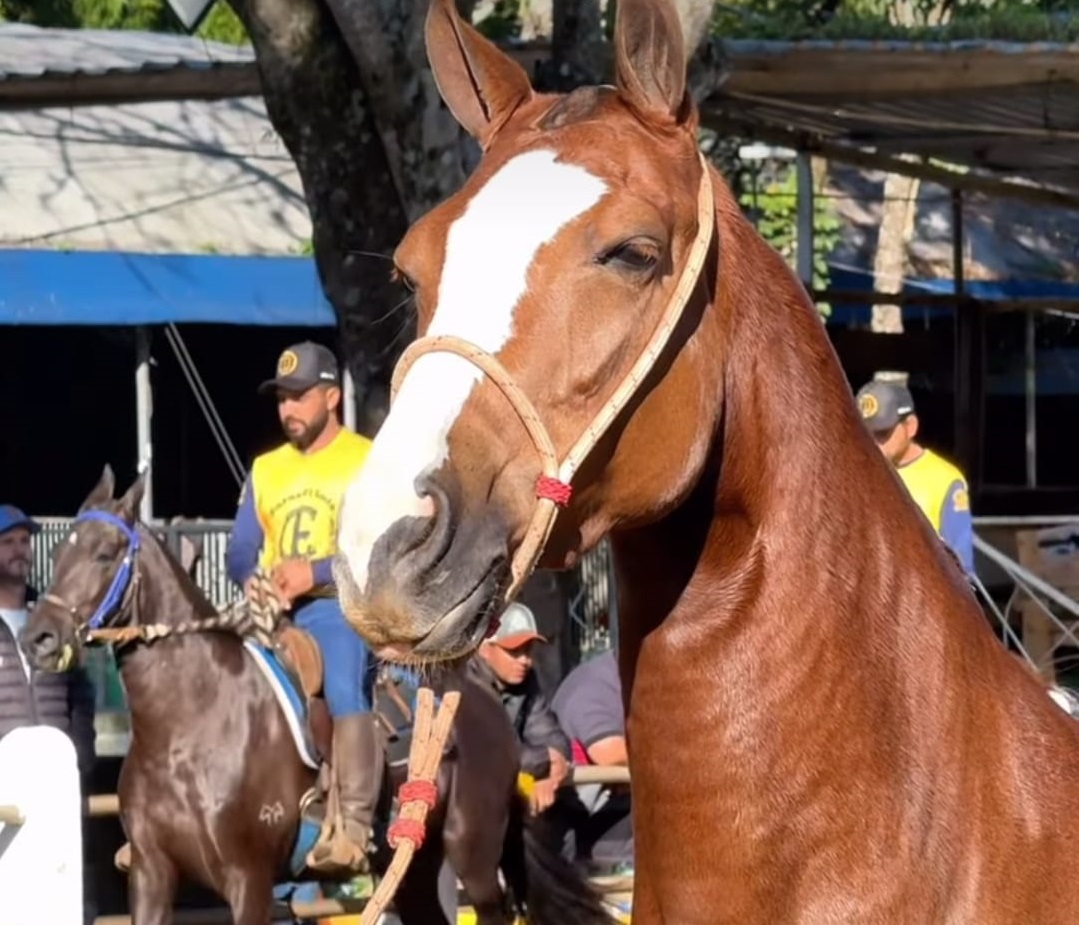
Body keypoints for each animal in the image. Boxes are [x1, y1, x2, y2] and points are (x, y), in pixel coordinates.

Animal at [21, 465, 615, 925]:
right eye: (59, 553)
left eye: (106, 553)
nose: (38, 637)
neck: (187, 728)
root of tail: (489, 706)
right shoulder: (150, 872)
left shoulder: (249, 879)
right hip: (413, 866)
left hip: (473, 851)